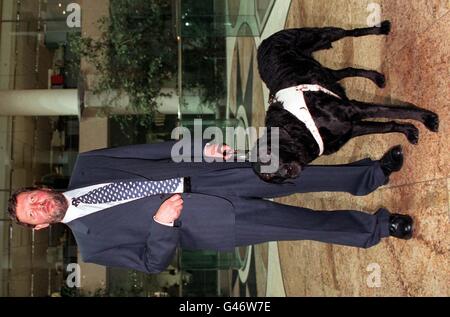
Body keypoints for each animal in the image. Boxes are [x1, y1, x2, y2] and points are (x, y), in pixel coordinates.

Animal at [253, 21, 440, 181]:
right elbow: (387, 126)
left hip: (321, 35)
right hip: (324, 70)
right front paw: (408, 130)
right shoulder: (351, 128)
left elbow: (396, 111)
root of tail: (263, 43)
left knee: (351, 32)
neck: (302, 125)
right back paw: (376, 77)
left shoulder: (354, 109)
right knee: (347, 70)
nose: (287, 172)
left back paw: (380, 29)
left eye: (269, 155)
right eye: (268, 176)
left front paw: (428, 119)